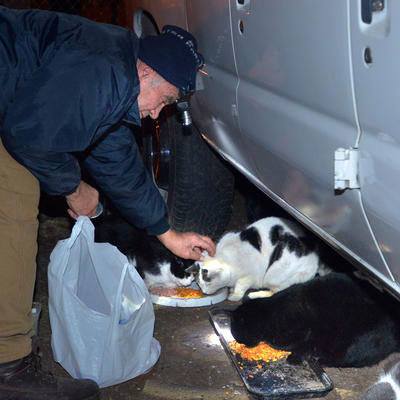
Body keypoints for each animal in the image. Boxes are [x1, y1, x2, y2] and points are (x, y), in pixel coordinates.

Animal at [193, 217, 328, 302]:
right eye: (199, 284)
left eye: (208, 283)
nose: (204, 291)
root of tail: (316, 261)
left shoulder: (249, 276)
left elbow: (240, 286)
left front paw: (234, 295)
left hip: (273, 275)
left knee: (275, 291)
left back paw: (254, 295)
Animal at [230, 274, 400, 368]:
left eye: (237, 333)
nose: (240, 342)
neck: (272, 312)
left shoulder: (302, 332)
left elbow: (292, 344)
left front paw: (295, 357)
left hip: (350, 341)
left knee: (349, 359)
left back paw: (321, 359)